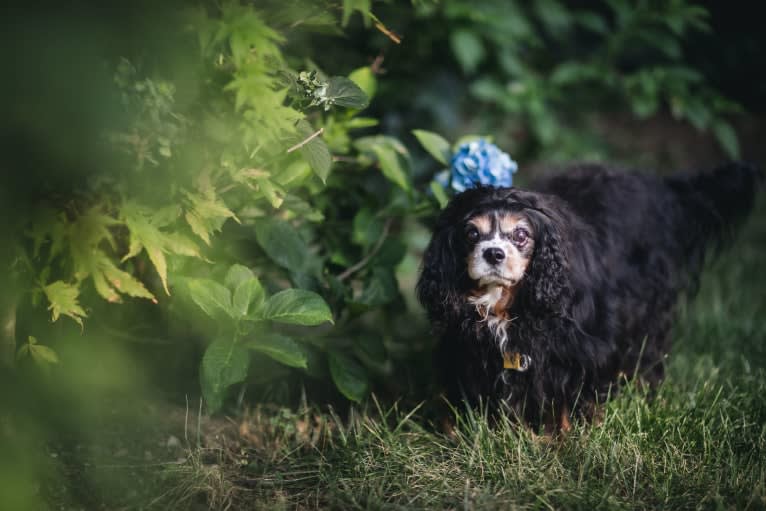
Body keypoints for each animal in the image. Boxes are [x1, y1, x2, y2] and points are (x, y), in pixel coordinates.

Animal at [420, 162, 760, 430]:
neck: (505, 305)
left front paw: (565, 441)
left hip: (649, 308)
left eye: (521, 235)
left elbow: (566, 399)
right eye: (471, 234)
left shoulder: (577, 349)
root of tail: (660, 188)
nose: (493, 253)